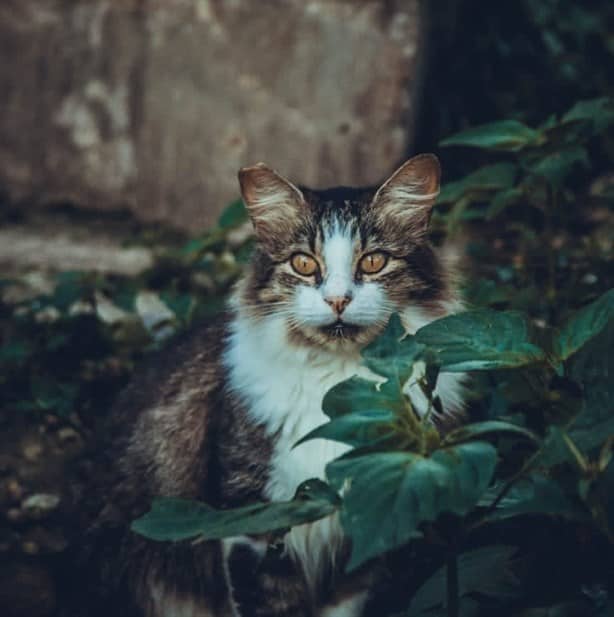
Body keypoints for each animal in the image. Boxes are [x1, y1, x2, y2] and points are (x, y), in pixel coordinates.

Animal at [89, 153, 466, 616]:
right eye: (304, 264)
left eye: (373, 262)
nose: (337, 300)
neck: (336, 390)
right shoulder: (252, 521)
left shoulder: (364, 525)